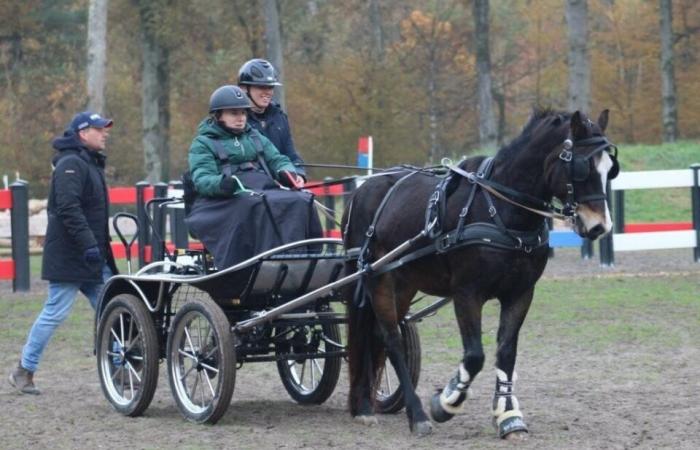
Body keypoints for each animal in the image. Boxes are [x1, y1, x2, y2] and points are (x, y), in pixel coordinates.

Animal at [344, 109, 616, 440]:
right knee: (391, 339)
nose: (599, 226)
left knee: (377, 336)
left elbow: (506, 353)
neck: (501, 210)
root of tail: (363, 188)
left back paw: (366, 406)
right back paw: (414, 414)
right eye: (581, 167)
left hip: (404, 283)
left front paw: (509, 416)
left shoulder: (520, 293)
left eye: (610, 169)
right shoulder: (467, 294)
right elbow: (475, 356)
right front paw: (445, 402)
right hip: (378, 278)